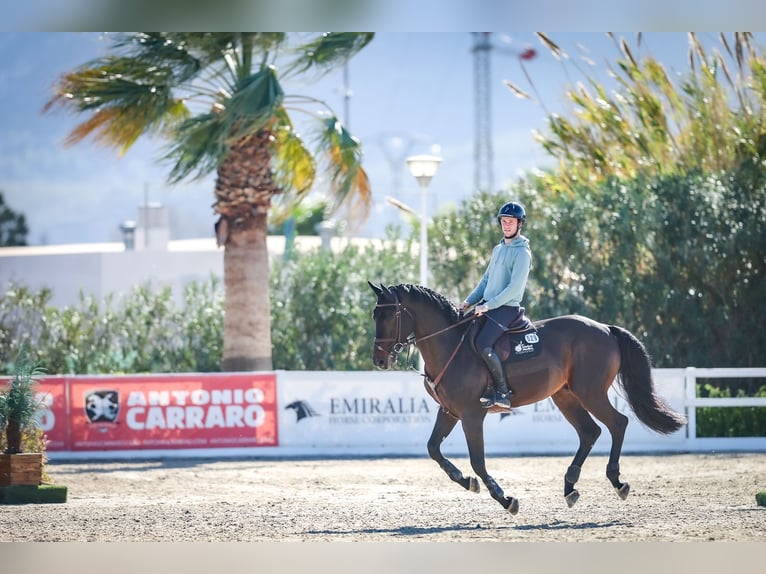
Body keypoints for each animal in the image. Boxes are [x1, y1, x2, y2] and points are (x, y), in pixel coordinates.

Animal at [368, 284, 688, 516]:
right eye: (375, 316)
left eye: (388, 316)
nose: (380, 360)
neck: (450, 345)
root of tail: (606, 328)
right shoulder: (449, 412)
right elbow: (433, 449)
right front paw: (466, 481)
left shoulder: (471, 415)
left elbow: (478, 461)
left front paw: (505, 498)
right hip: (565, 396)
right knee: (590, 432)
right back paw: (570, 487)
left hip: (591, 392)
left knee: (617, 424)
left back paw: (617, 481)